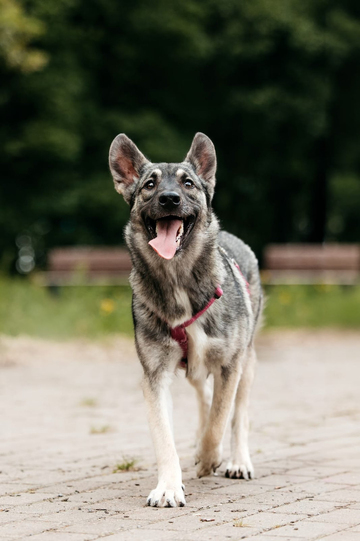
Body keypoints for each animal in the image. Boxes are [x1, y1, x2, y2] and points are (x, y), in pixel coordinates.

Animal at [108, 131, 262, 506]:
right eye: (149, 184)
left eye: (188, 183)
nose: (169, 199)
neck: (177, 277)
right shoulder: (155, 375)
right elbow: (164, 435)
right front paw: (168, 486)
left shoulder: (229, 366)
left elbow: (221, 419)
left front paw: (210, 458)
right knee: (204, 395)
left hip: (247, 362)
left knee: (238, 413)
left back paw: (237, 460)